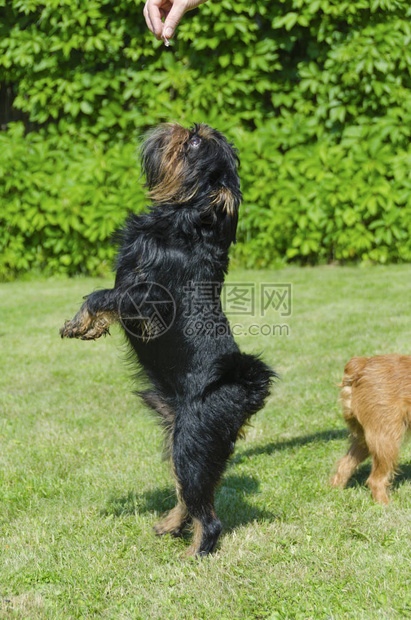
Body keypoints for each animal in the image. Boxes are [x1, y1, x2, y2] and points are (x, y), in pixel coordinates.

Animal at [60, 122, 274, 556]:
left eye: (194, 144)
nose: (188, 125)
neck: (185, 222)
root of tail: (246, 387)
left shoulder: (144, 297)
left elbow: (101, 295)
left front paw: (81, 324)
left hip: (191, 442)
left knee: (207, 514)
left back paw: (195, 553)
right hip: (183, 442)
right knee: (192, 494)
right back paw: (171, 526)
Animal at [332, 354, 411, 504]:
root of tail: (362, 365)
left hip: (364, 439)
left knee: (344, 465)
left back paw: (334, 491)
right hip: (386, 439)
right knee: (375, 480)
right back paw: (385, 504)